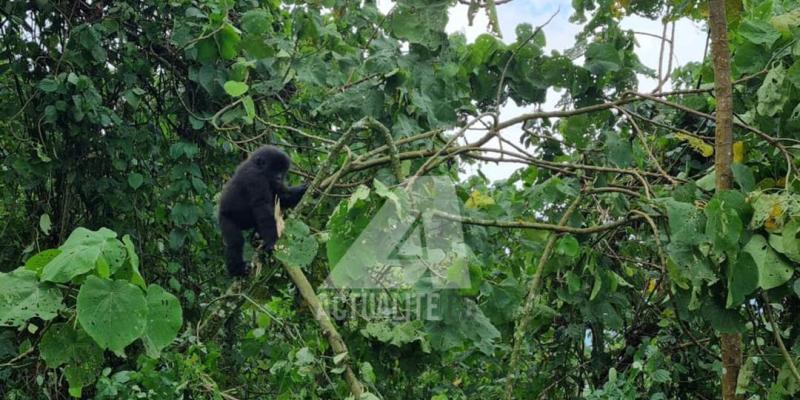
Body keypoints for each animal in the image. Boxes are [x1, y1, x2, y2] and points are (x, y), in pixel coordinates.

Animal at [217, 145, 308, 276]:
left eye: (282, 170)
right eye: (274, 169)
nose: (279, 177)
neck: (257, 165)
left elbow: (282, 197)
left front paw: (303, 190)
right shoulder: (255, 177)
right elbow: (261, 206)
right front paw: (271, 242)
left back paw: (256, 238)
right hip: (225, 218)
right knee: (235, 242)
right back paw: (236, 269)